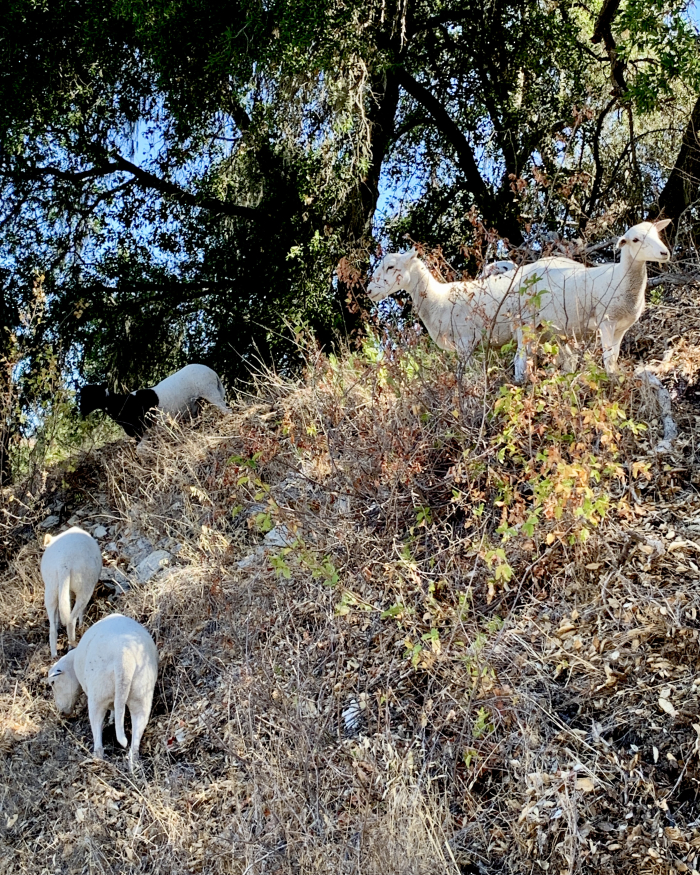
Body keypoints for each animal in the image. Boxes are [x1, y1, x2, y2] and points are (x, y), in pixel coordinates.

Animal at [41, 526, 102, 657]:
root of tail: (64, 564)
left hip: (51, 588)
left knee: (52, 628)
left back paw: (54, 654)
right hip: (85, 587)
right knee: (71, 620)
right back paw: (72, 645)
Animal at [47, 613, 158, 769]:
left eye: (53, 683)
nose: (62, 712)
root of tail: (124, 660)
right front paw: (112, 718)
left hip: (98, 696)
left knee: (97, 729)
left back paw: (96, 759)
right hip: (141, 695)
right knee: (138, 727)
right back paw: (132, 764)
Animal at [79, 363, 231, 440]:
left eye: (91, 395)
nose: (82, 411)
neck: (121, 404)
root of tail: (213, 373)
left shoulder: (142, 430)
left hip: (210, 392)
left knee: (226, 410)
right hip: (201, 401)